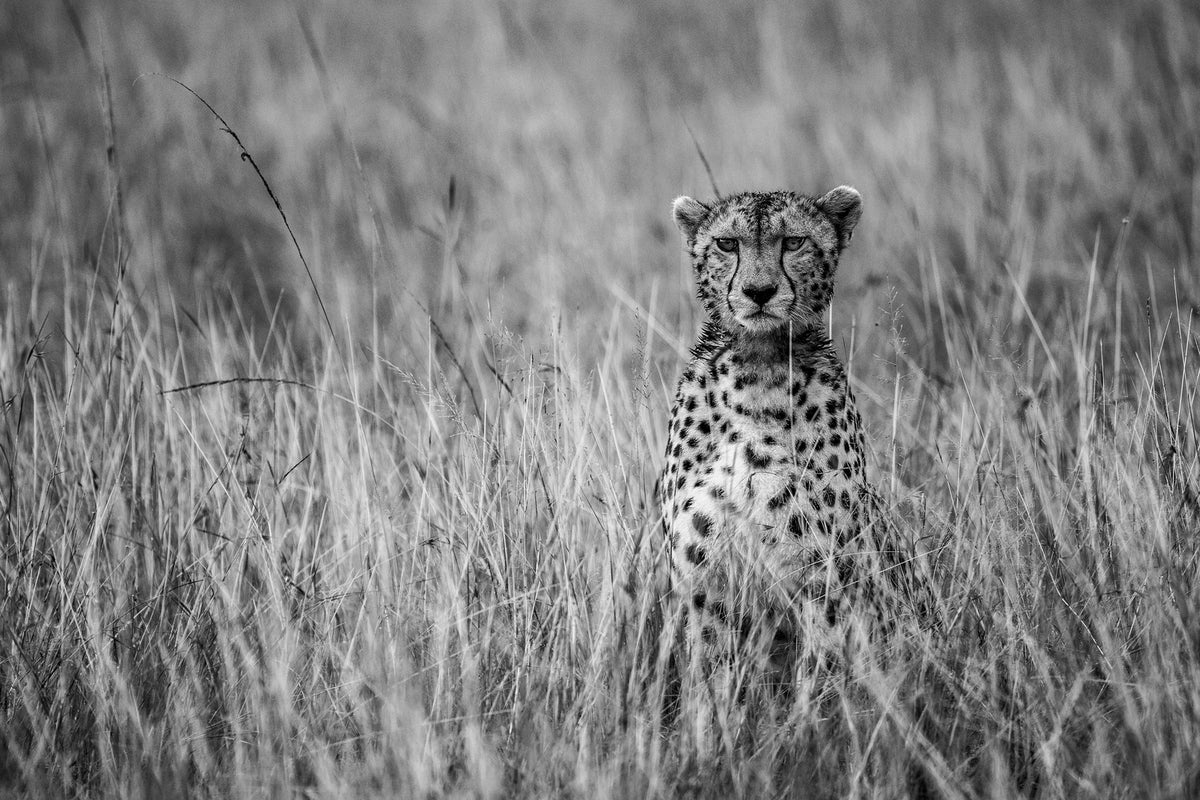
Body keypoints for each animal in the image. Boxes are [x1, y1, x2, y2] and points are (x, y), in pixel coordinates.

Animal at [658, 186, 891, 677]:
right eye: (728, 244)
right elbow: (710, 676)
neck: (758, 365)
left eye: (794, 242)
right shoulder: (704, 584)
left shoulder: (823, 579)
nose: (759, 291)